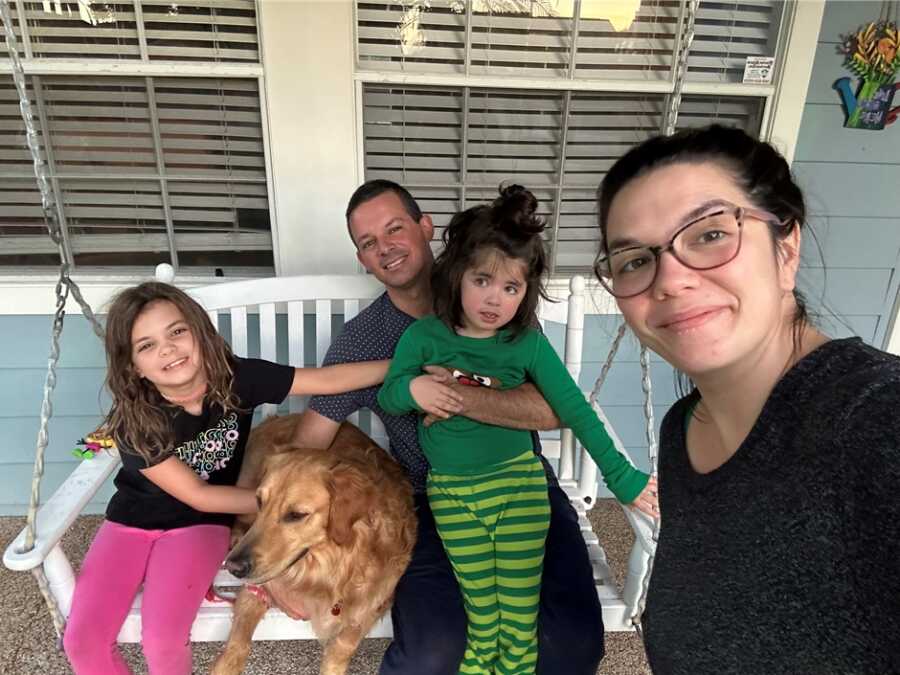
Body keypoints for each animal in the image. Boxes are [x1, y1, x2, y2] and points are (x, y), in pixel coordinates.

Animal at [212, 418, 418, 675]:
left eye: (296, 515)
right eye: (260, 501)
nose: (234, 567)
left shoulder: (368, 608)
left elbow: (342, 648)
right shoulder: (258, 588)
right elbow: (236, 647)